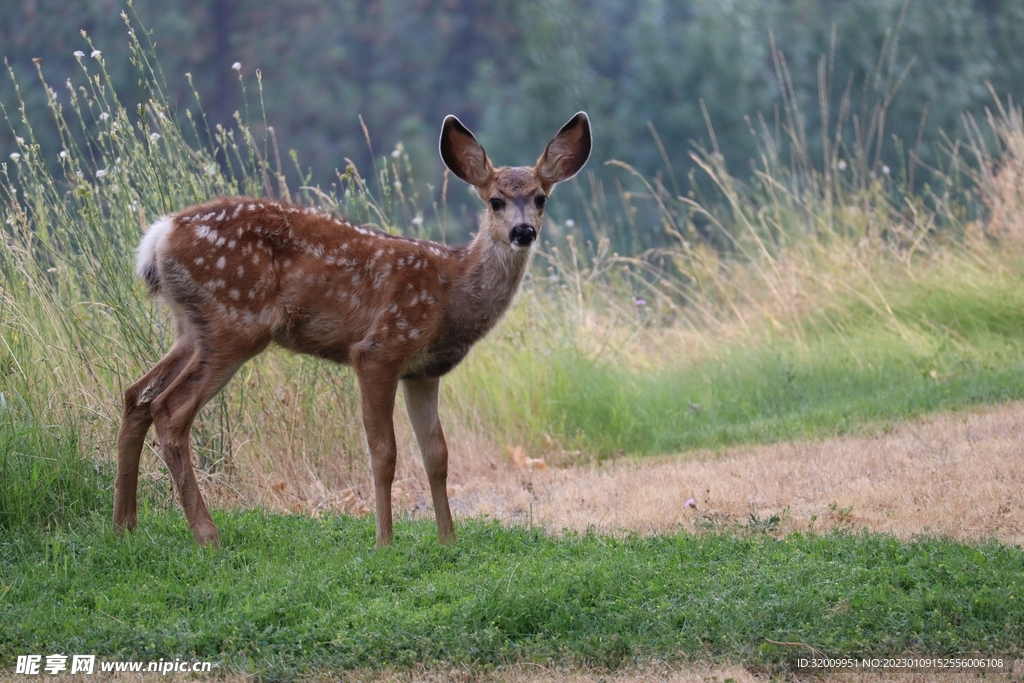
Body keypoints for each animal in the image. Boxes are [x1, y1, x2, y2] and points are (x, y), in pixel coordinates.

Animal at [113, 112, 592, 548]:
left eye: (541, 198)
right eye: (495, 200)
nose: (523, 231)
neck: (451, 291)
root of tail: (158, 236)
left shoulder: (423, 371)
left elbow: (436, 454)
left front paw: (448, 540)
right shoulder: (380, 349)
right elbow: (384, 452)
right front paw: (384, 541)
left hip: (192, 328)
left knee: (137, 395)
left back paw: (125, 525)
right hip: (235, 322)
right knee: (170, 409)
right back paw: (207, 535)